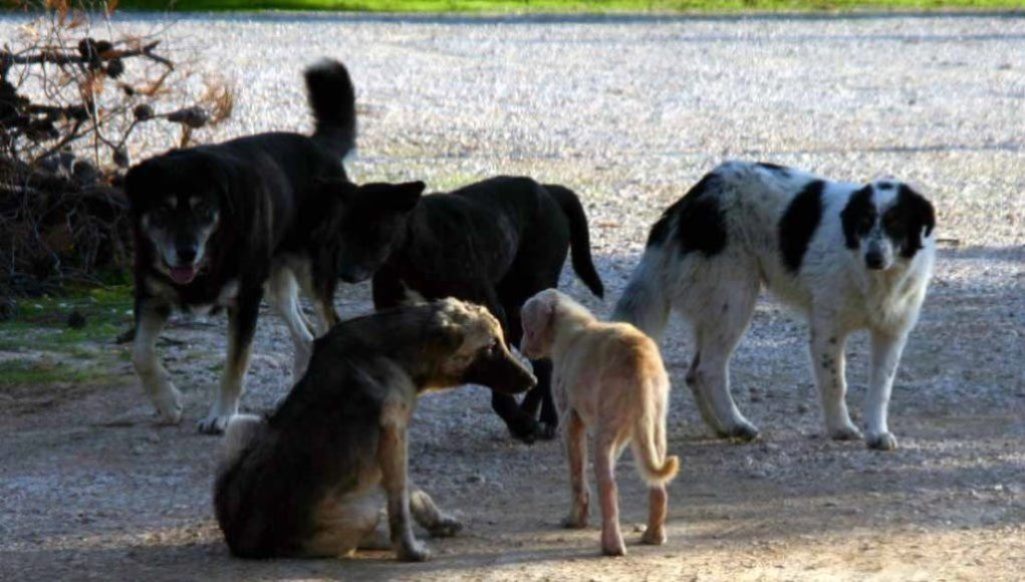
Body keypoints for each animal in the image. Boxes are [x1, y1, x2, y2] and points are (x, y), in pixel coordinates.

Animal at [125, 59, 356, 432]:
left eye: (203, 209)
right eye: (162, 210)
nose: (186, 253)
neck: (211, 253)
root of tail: (319, 146)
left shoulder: (245, 300)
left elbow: (235, 365)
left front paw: (220, 415)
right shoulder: (151, 296)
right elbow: (140, 353)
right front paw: (167, 403)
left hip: (312, 272)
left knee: (328, 323)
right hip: (275, 283)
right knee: (307, 339)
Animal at [319, 176, 602, 440]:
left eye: (374, 229)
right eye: (342, 230)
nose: (344, 272)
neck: (410, 253)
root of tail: (547, 190)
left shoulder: (492, 313)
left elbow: (499, 381)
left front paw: (519, 421)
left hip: (523, 301)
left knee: (546, 364)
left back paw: (546, 420)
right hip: (517, 313)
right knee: (541, 364)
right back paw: (530, 414)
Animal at [520, 288, 680, 557]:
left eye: (527, 327)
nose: (521, 349)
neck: (572, 324)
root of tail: (640, 360)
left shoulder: (570, 421)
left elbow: (577, 477)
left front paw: (575, 520)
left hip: (606, 433)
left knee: (609, 489)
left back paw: (612, 545)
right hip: (654, 429)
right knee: (657, 487)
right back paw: (653, 536)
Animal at [615, 161, 938, 452]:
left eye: (896, 223)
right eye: (864, 222)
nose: (874, 257)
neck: (875, 277)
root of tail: (694, 196)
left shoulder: (891, 333)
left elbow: (881, 388)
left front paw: (877, 433)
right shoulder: (828, 330)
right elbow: (835, 383)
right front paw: (841, 428)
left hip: (716, 307)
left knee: (694, 372)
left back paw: (721, 427)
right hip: (734, 299)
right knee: (709, 369)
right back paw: (736, 424)